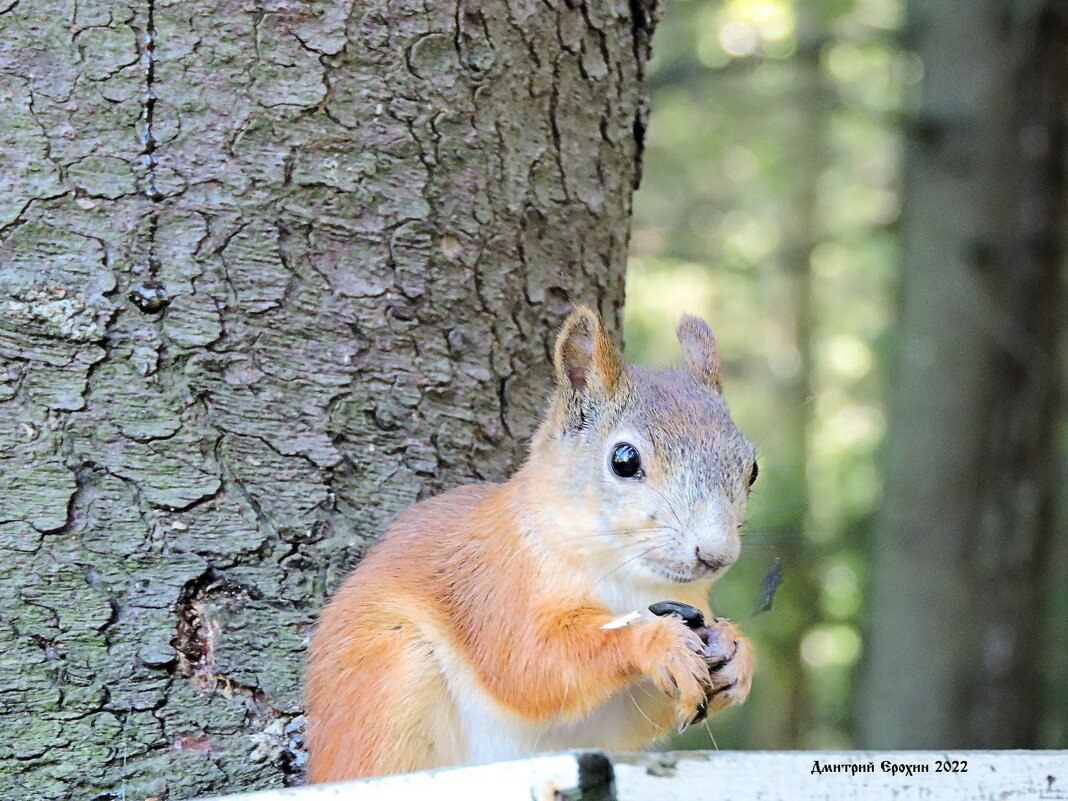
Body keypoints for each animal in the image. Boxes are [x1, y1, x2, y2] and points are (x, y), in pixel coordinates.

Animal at [305, 307, 760, 786]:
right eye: (624, 460)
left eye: (752, 469)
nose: (715, 554)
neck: (628, 579)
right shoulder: (496, 588)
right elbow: (529, 663)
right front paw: (655, 641)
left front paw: (735, 652)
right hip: (390, 677)